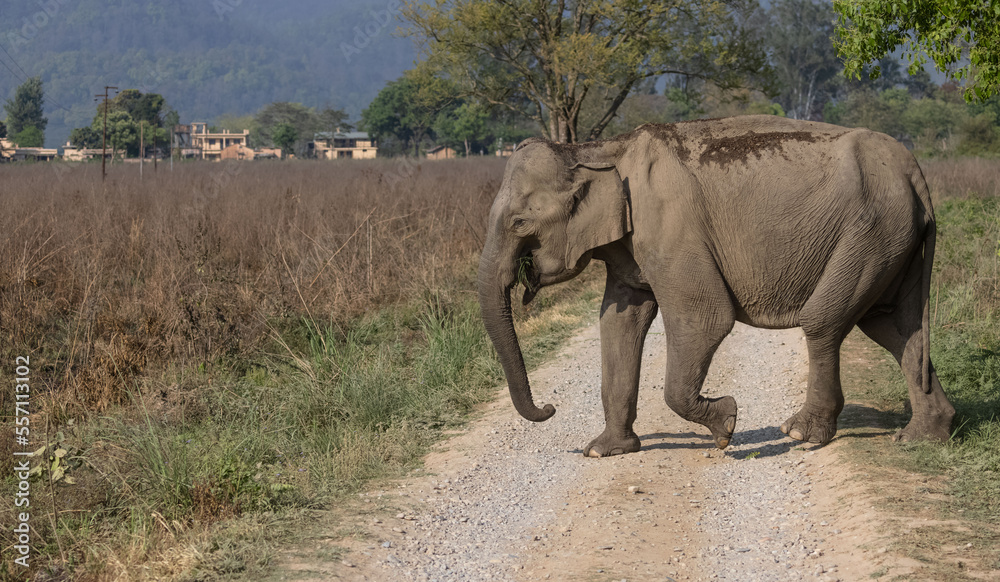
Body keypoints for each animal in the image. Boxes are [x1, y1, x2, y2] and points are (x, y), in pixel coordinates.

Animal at [477, 115, 955, 457]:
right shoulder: (631, 245)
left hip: (871, 231)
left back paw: (801, 433)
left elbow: (704, 319)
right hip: (894, 240)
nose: (549, 408)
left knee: (826, 321)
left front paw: (726, 425)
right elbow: (619, 321)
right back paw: (923, 437)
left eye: (519, 223)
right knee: (895, 327)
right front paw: (603, 451)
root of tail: (914, 171)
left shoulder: (672, 229)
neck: (601, 148)